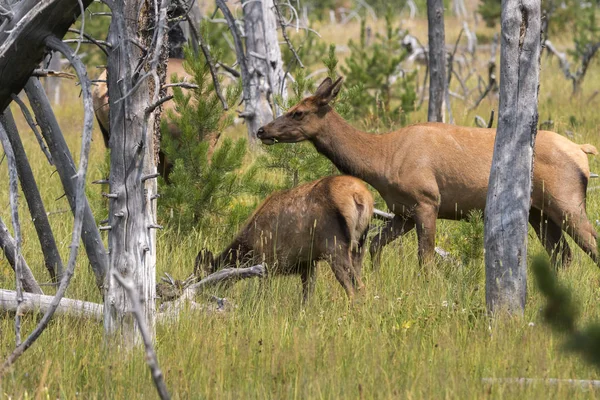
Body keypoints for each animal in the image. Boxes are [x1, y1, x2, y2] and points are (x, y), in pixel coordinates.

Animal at [195, 177, 372, 302]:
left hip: (334, 246)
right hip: (359, 246)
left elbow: (263, 295)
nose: (201, 295)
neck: (249, 246)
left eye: (202, 277)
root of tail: (361, 197)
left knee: (355, 288)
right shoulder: (308, 263)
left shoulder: (267, 260)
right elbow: (307, 297)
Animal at [258, 76, 600, 268]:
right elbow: (375, 246)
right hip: (539, 213)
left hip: (567, 202)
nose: (262, 130)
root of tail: (583, 150)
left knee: (591, 244)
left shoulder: (427, 202)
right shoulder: (403, 212)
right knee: (563, 256)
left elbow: (425, 259)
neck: (381, 161)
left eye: (298, 112)